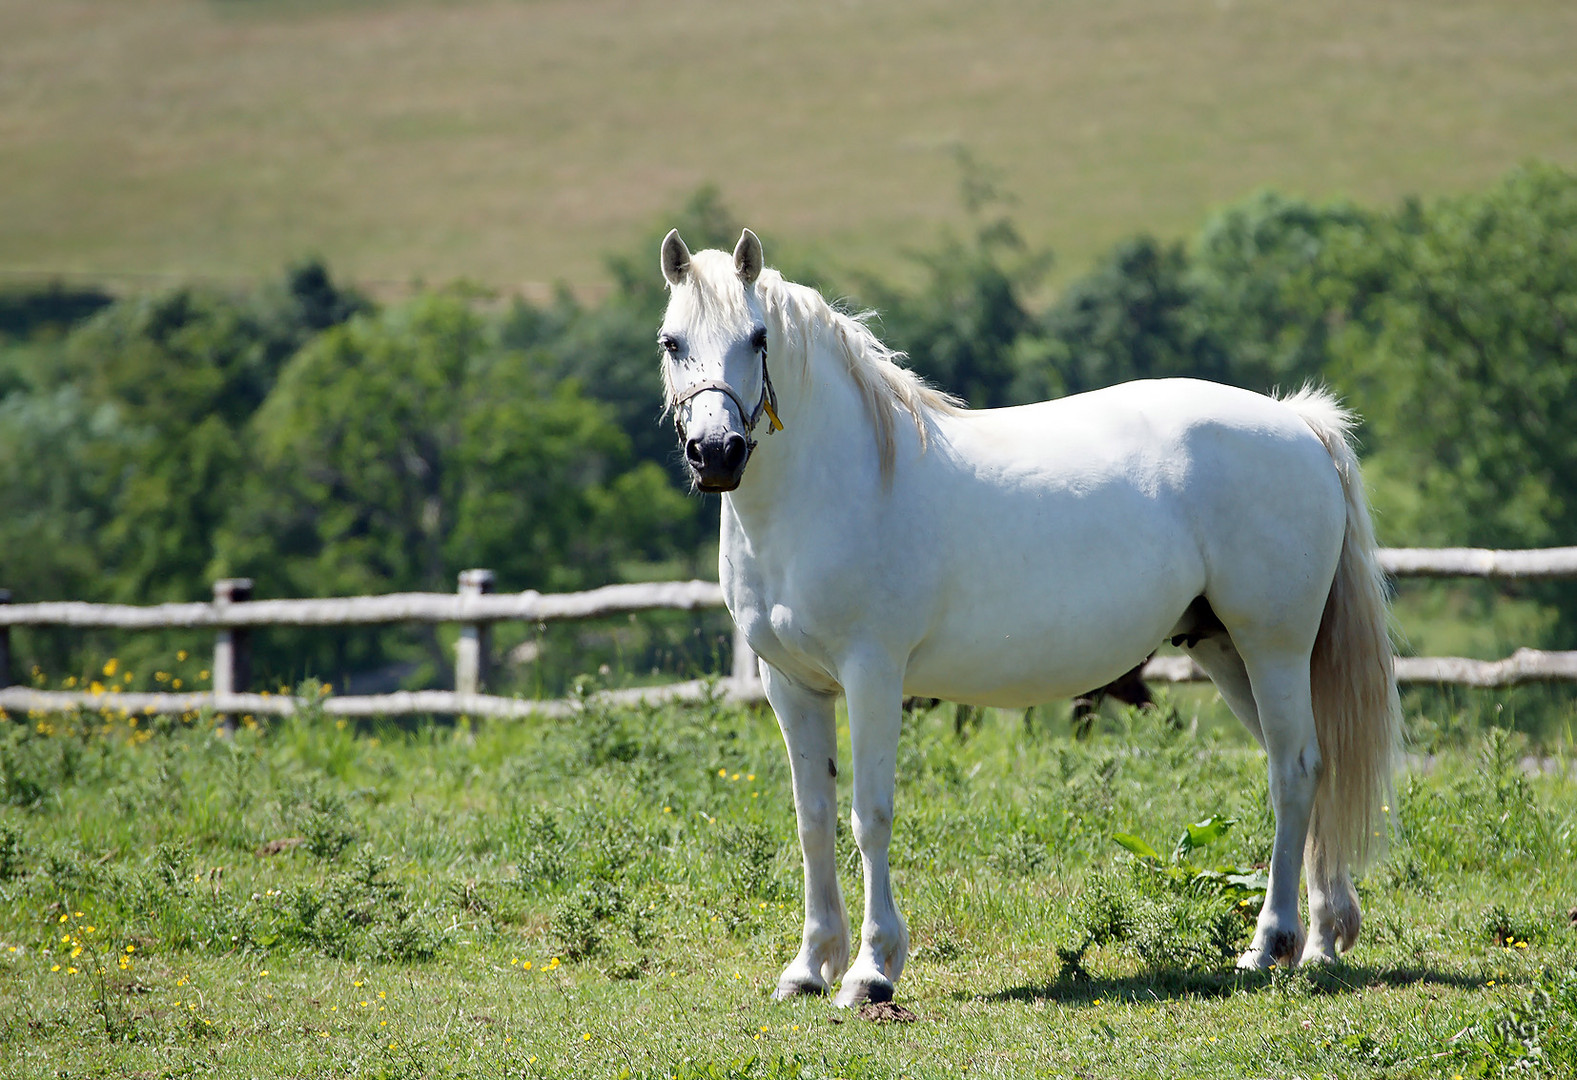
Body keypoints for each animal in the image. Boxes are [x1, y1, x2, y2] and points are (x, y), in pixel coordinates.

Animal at [659, 225, 1400, 1002]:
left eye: (758, 337)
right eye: (671, 341)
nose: (715, 453)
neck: (834, 486)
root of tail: (1298, 422)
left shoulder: (872, 676)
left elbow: (869, 817)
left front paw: (870, 970)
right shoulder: (792, 686)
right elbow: (813, 821)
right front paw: (807, 968)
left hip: (1274, 646)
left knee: (1293, 771)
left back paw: (1270, 944)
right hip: (1224, 649)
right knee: (1312, 768)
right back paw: (1322, 940)